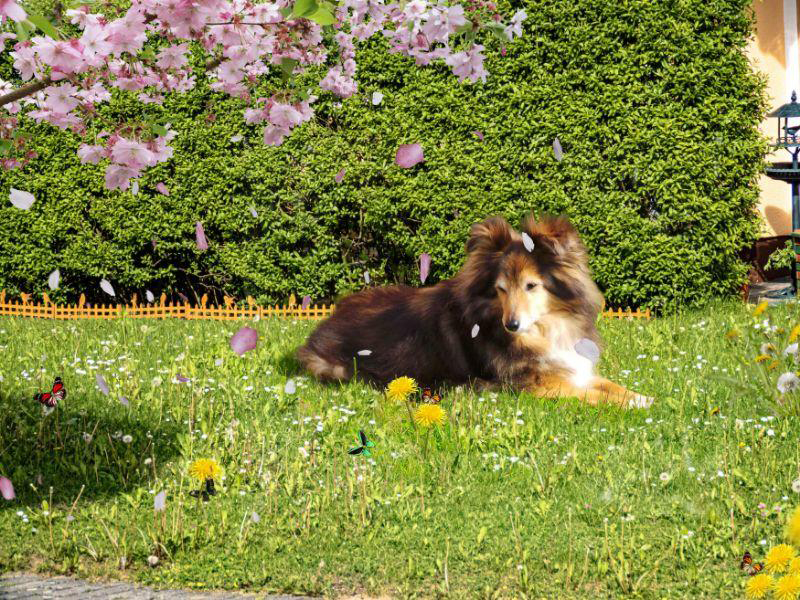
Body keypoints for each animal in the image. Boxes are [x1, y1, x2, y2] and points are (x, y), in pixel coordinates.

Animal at [296, 213, 652, 410]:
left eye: (531, 286)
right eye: (501, 288)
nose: (511, 325)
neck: (543, 330)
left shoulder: (571, 366)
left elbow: (607, 385)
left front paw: (642, 397)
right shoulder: (533, 385)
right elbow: (592, 395)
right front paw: (632, 403)